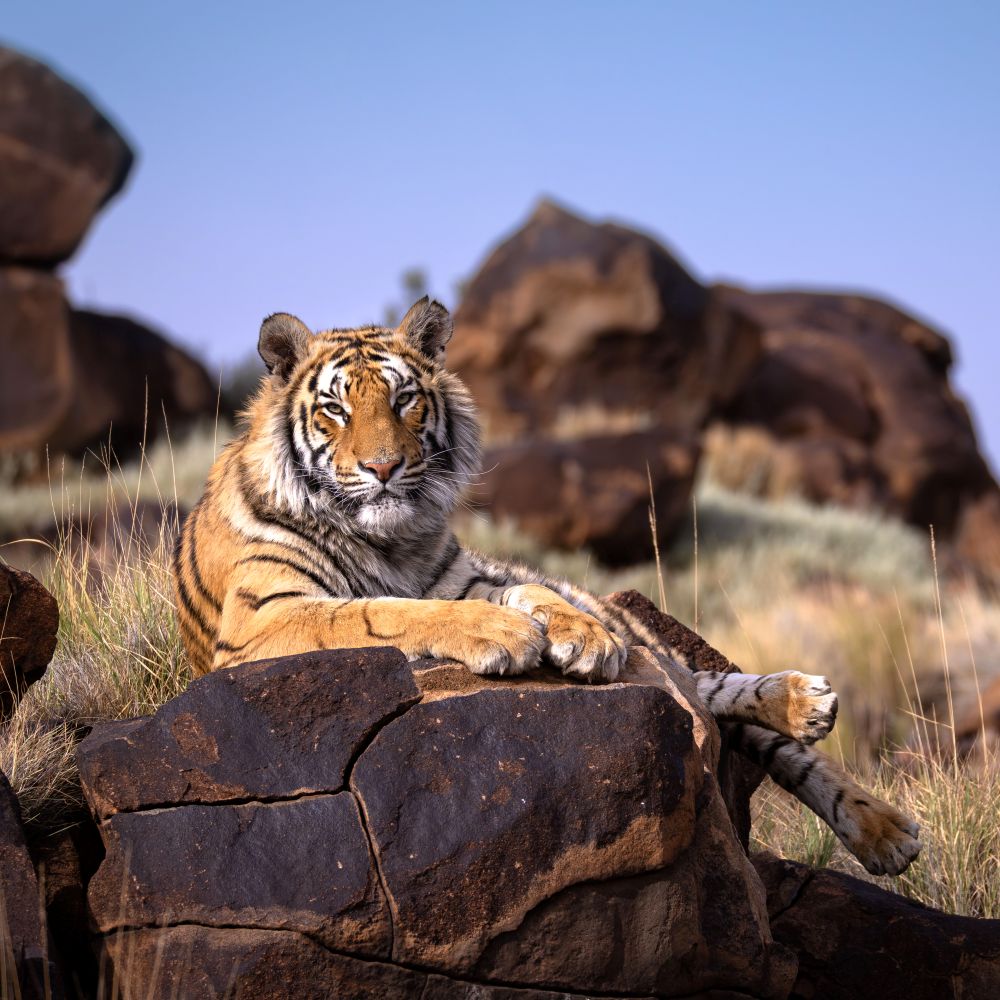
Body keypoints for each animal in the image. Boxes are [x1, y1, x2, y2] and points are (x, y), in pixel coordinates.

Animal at [173, 296, 921, 878]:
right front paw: (504, 635)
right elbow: (384, 611)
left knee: (714, 692)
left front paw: (582, 639)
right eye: (333, 409)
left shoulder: (469, 574)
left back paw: (849, 771)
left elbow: (523, 595)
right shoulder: (262, 622)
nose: (383, 468)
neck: (385, 536)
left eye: (403, 400)